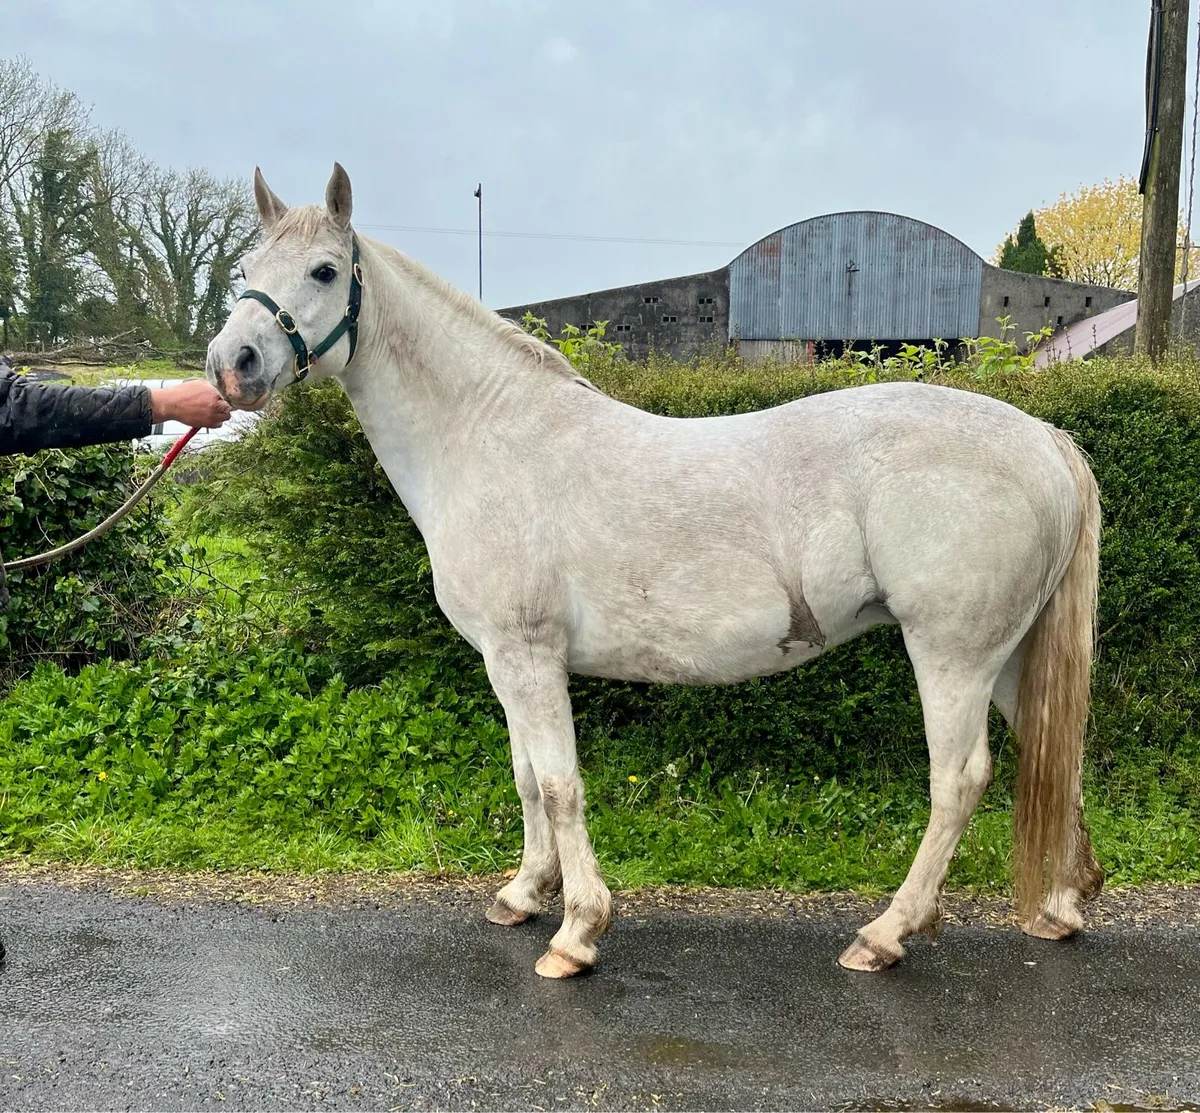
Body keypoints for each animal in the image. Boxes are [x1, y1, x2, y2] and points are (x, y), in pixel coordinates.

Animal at [206, 163, 1103, 979]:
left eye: (325, 270)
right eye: (247, 267)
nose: (232, 363)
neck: (487, 435)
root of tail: (1043, 438)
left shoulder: (528, 656)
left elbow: (559, 784)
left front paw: (576, 932)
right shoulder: (506, 661)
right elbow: (526, 776)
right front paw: (523, 894)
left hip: (951, 655)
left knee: (959, 780)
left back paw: (886, 933)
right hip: (1007, 656)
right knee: (1054, 748)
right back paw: (1063, 905)